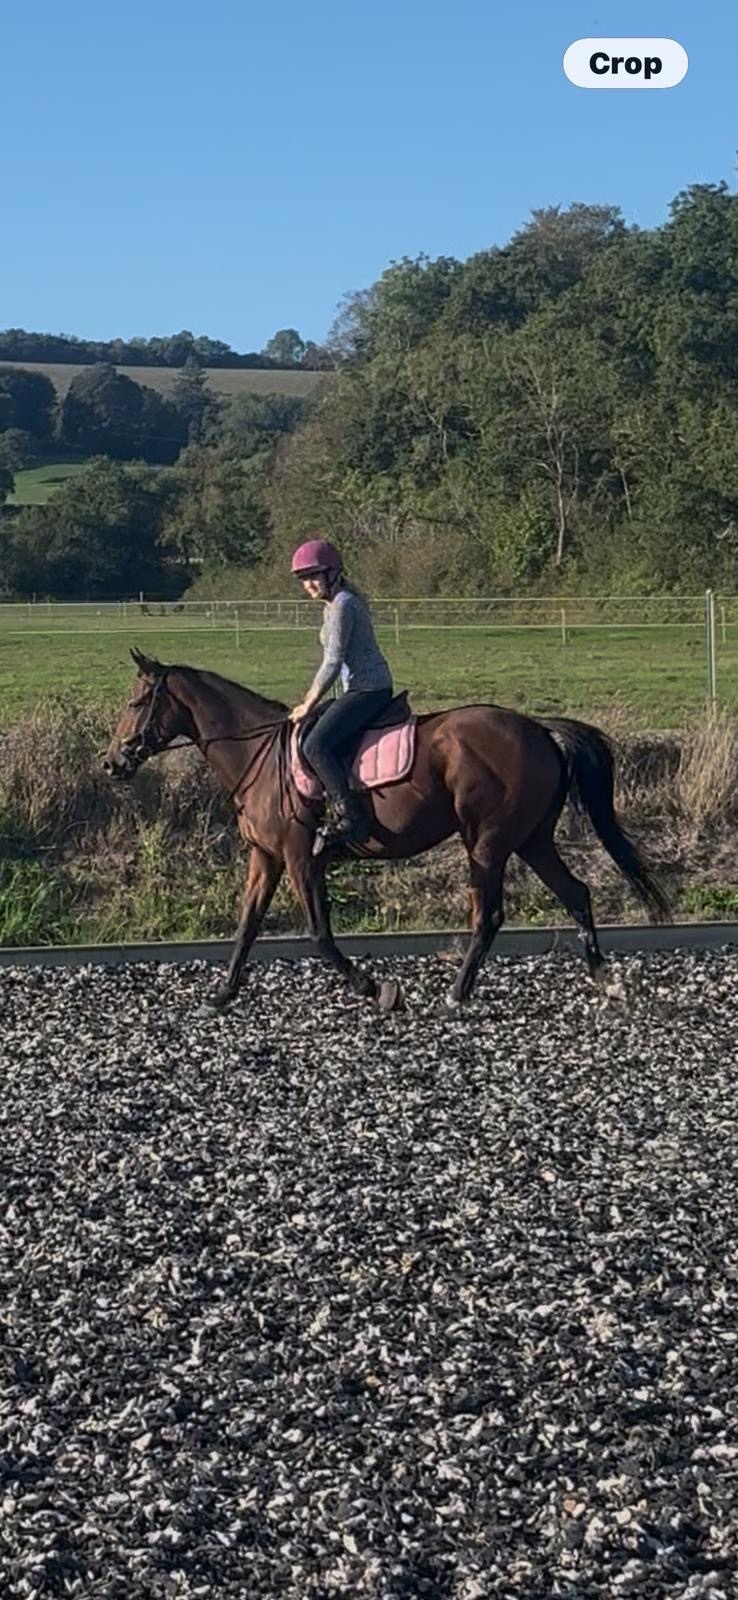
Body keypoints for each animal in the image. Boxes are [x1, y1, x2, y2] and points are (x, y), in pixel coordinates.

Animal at [102, 648, 670, 1012]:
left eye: (135, 702)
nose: (112, 763)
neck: (256, 754)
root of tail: (539, 729)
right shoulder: (265, 856)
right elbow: (246, 927)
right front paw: (221, 996)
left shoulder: (300, 856)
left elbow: (320, 934)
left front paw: (378, 991)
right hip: (530, 840)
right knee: (576, 893)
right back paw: (606, 982)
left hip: (487, 844)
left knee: (488, 916)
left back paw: (455, 997)